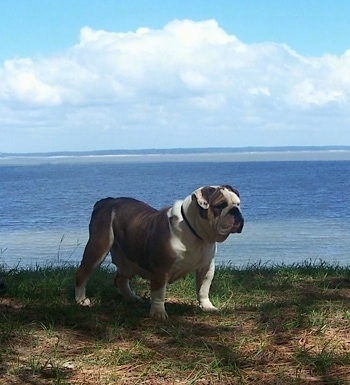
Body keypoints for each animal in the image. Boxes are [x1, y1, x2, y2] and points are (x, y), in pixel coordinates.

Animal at [74, 184, 243, 320]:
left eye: (238, 204)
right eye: (220, 206)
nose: (236, 211)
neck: (195, 233)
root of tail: (107, 201)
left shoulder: (207, 267)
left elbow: (203, 288)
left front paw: (207, 306)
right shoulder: (161, 268)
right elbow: (159, 292)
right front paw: (158, 313)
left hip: (130, 260)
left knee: (120, 279)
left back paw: (132, 297)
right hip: (98, 248)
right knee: (82, 274)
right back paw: (81, 300)